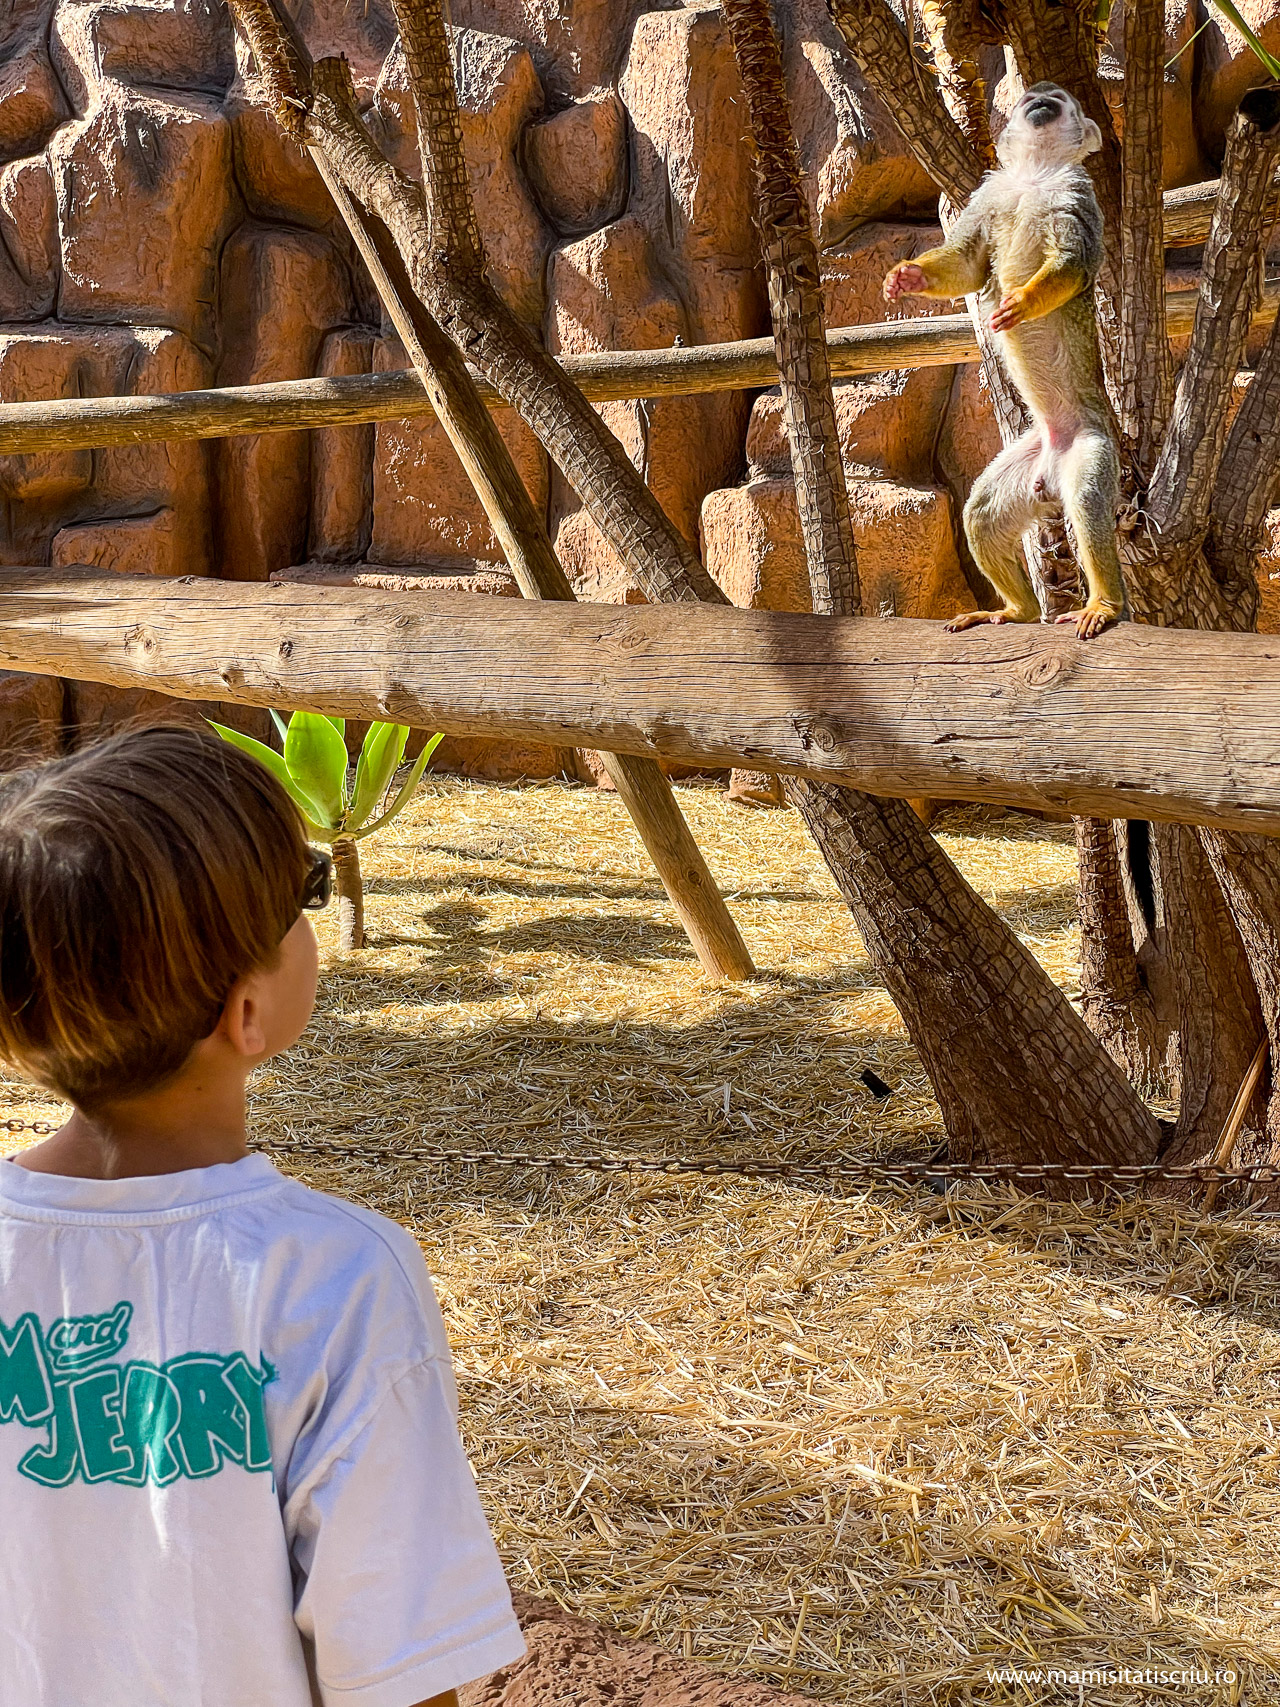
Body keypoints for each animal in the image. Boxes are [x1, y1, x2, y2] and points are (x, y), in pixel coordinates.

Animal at [887, 83, 1126, 641]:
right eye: (1035, 97)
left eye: (1058, 99)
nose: (1040, 96)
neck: (1035, 173)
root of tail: (1052, 464)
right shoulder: (990, 193)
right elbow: (967, 264)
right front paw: (907, 276)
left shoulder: (1077, 195)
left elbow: (1072, 264)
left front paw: (1024, 300)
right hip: (1029, 459)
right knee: (981, 512)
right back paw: (1015, 609)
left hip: (1092, 446)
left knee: (1088, 503)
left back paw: (1105, 603)